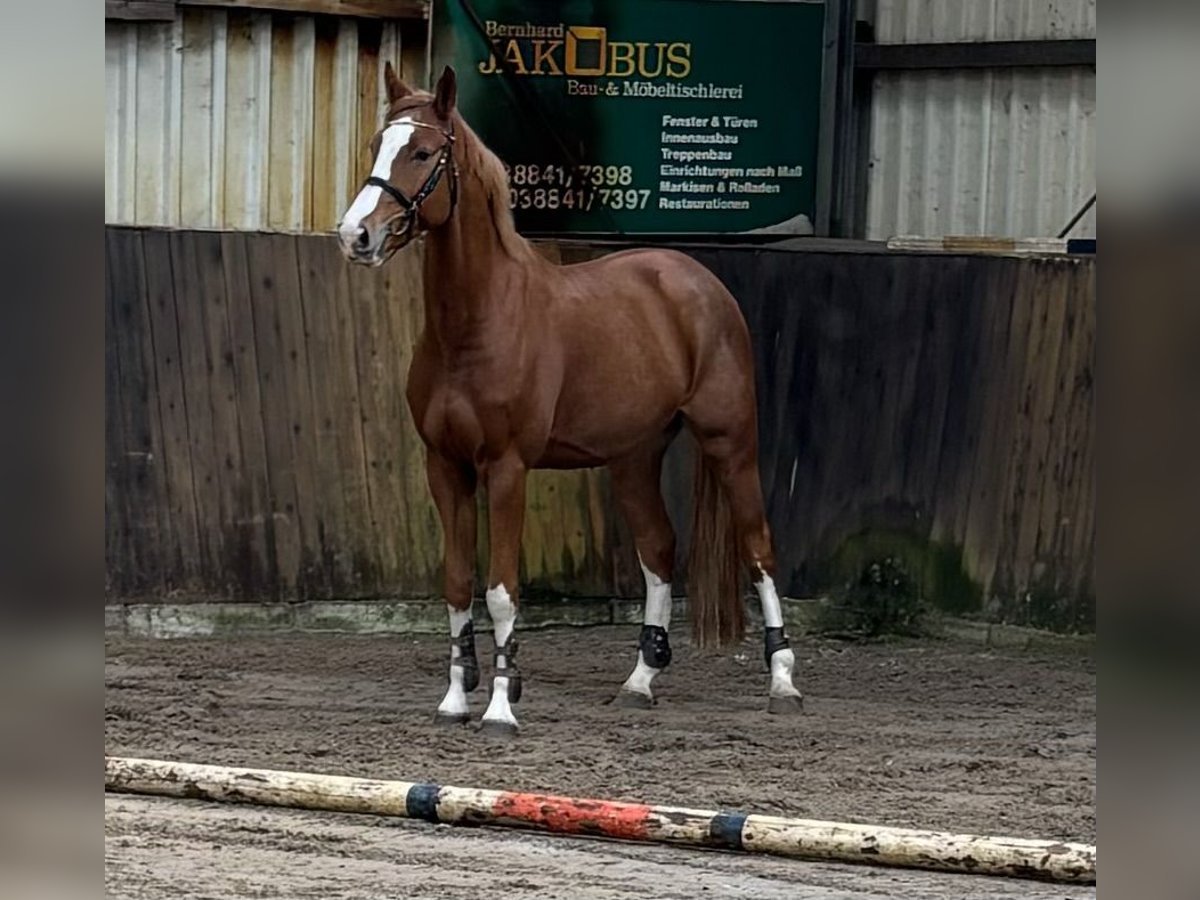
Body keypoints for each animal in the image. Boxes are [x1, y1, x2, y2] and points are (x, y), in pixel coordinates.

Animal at [338, 66, 801, 734]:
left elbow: (502, 590)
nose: (356, 235)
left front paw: (500, 707)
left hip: (730, 442)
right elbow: (456, 582)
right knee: (658, 549)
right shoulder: (444, 466)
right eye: (378, 145)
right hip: (633, 458)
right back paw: (640, 680)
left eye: (422, 152)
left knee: (758, 548)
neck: (476, 325)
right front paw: (454, 699)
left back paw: (783, 681)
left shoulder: (506, 468)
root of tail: (698, 281)